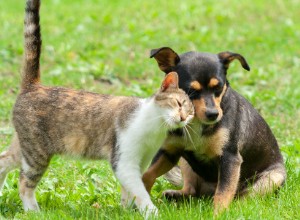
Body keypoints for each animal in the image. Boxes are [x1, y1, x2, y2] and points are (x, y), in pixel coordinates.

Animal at [0, 0, 195, 217]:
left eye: (191, 113)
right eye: (178, 104)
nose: (183, 118)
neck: (155, 128)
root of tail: (33, 86)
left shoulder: (142, 160)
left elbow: (129, 191)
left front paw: (126, 210)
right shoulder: (124, 161)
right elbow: (140, 191)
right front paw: (151, 212)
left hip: (25, 146)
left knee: (3, 160)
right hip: (37, 153)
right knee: (24, 183)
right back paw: (34, 211)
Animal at [142, 46, 286, 213]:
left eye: (218, 87)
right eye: (191, 91)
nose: (213, 114)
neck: (195, 122)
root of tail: (207, 193)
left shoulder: (230, 158)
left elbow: (223, 193)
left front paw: (217, 214)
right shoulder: (169, 152)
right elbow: (147, 174)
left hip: (272, 178)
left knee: (242, 198)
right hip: (185, 163)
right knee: (192, 191)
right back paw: (174, 195)